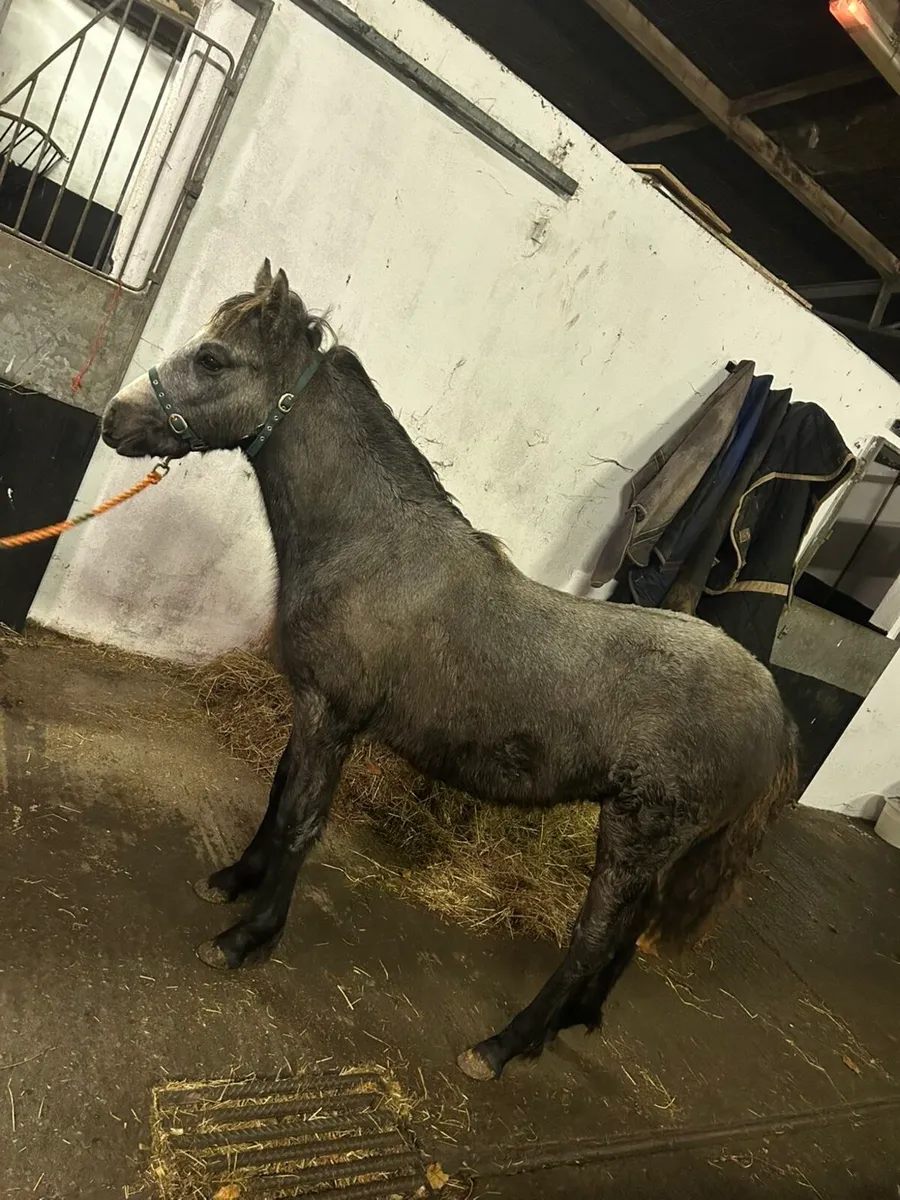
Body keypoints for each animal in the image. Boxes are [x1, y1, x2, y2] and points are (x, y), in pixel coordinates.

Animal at [101, 261, 798, 1082]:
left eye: (213, 358)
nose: (115, 419)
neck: (374, 547)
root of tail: (775, 710)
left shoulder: (332, 714)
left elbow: (303, 821)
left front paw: (247, 937)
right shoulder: (313, 707)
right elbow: (278, 793)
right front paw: (232, 882)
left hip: (635, 835)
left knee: (594, 937)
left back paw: (501, 1046)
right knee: (626, 936)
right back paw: (572, 1020)